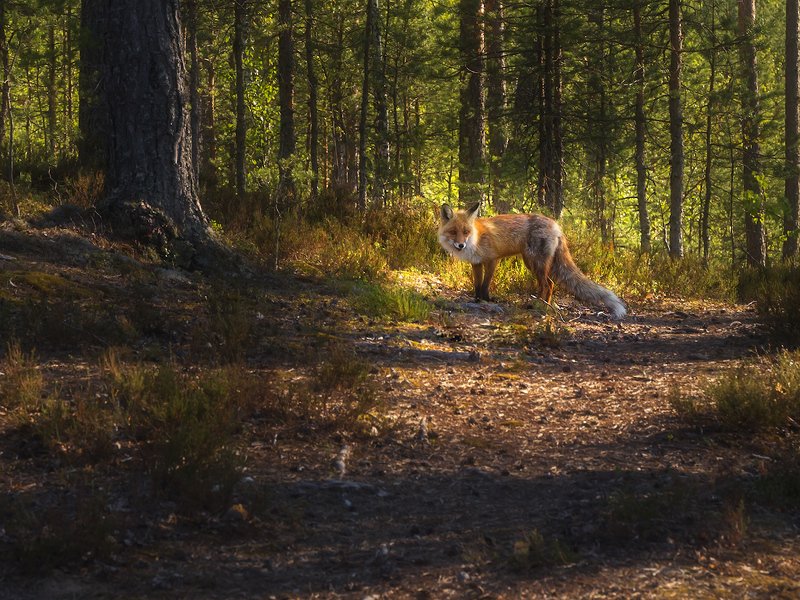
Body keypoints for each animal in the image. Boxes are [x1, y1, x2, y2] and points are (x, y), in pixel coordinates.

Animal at [438, 202, 627, 319]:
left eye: (466, 232)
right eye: (453, 232)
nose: (461, 245)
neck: (476, 239)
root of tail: (556, 225)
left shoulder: (492, 260)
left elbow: (485, 284)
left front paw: (486, 300)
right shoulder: (476, 263)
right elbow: (477, 284)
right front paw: (477, 300)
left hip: (536, 263)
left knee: (548, 285)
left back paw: (539, 306)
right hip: (533, 263)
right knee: (549, 284)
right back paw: (542, 305)